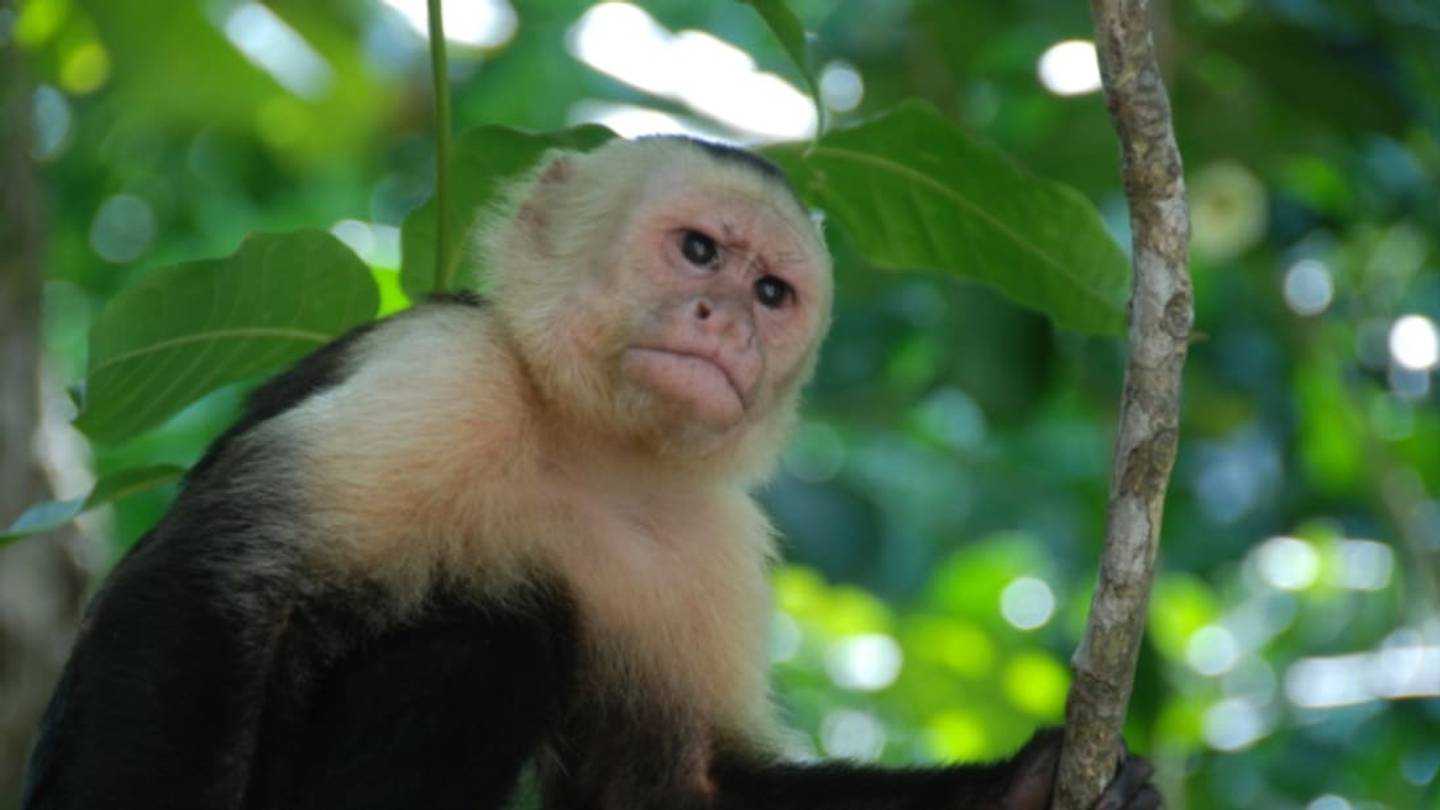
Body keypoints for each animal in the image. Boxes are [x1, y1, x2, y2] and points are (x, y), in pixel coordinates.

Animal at [22, 136, 1161, 810]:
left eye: (772, 292)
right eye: (698, 251)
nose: (726, 322)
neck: (586, 444)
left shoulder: (710, 541)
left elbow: (686, 785)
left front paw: (1034, 783)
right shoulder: (446, 376)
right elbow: (208, 595)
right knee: (498, 629)